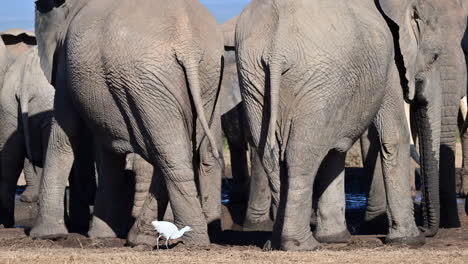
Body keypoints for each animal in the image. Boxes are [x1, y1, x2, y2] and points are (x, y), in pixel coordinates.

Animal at [30, 0, 225, 248]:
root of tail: (187, 42)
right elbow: (106, 148)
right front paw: (102, 236)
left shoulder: (66, 62)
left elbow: (66, 132)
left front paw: (45, 235)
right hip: (205, 75)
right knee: (177, 150)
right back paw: (150, 238)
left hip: (146, 81)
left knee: (169, 154)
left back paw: (188, 241)